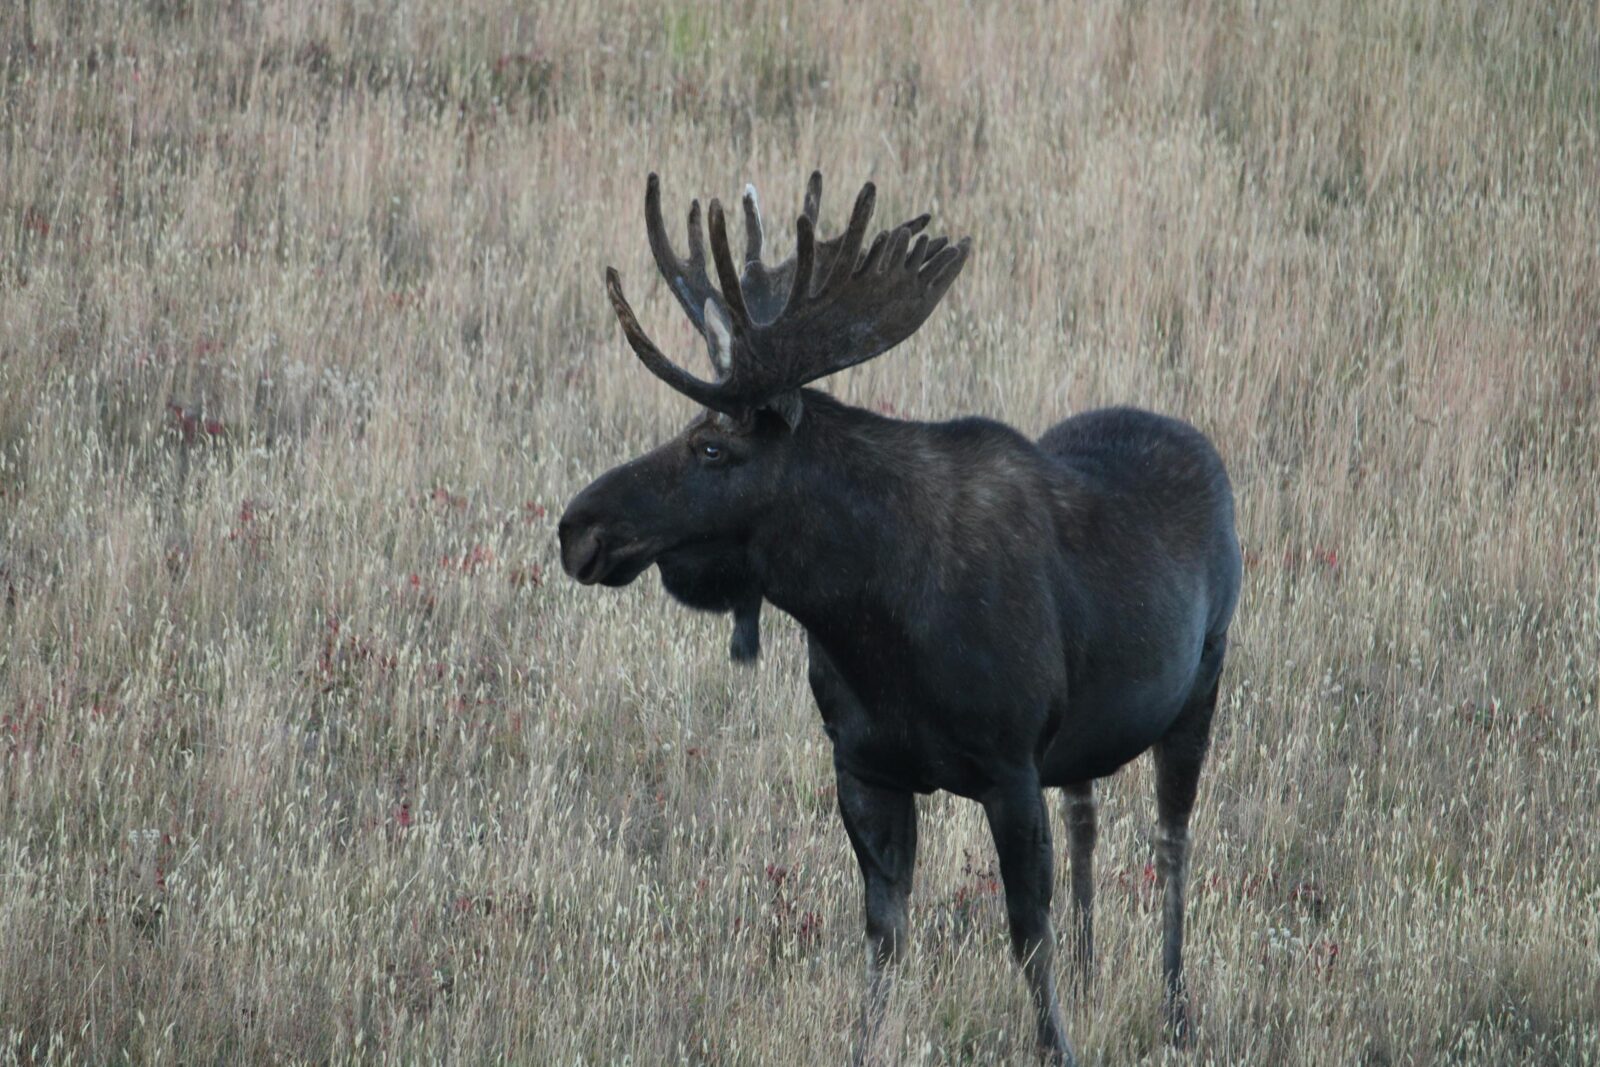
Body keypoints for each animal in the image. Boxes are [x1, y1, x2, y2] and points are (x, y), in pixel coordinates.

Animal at [558, 171, 1242, 1065]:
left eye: (712, 447)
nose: (578, 527)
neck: (870, 620)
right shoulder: (864, 765)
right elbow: (884, 935)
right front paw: (867, 1040)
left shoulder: (1009, 766)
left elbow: (1028, 935)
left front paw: (1057, 1045)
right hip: (1085, 740)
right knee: (1089, 818)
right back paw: (1097, 979)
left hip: (1200, 684)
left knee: (1171, 841)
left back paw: (1177, 1009)